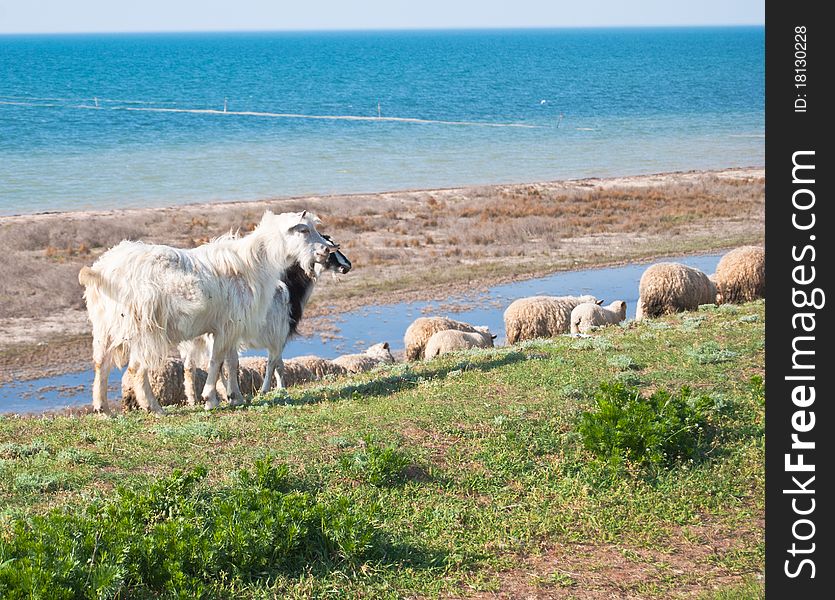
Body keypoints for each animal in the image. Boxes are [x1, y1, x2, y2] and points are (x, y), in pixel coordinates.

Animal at [78, 209, 332, 414]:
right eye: (303, 230)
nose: (327, 251)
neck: (253, 262)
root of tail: (103, 272)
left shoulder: (230, 326)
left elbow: (231, 362)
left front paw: (235, 397)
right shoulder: (226, 326)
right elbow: (216, 360)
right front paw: (211, 399)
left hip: (104, 327)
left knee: (101, 364)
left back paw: (103, 410)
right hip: (145, 328)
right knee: (137, 368)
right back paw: (155, 408)